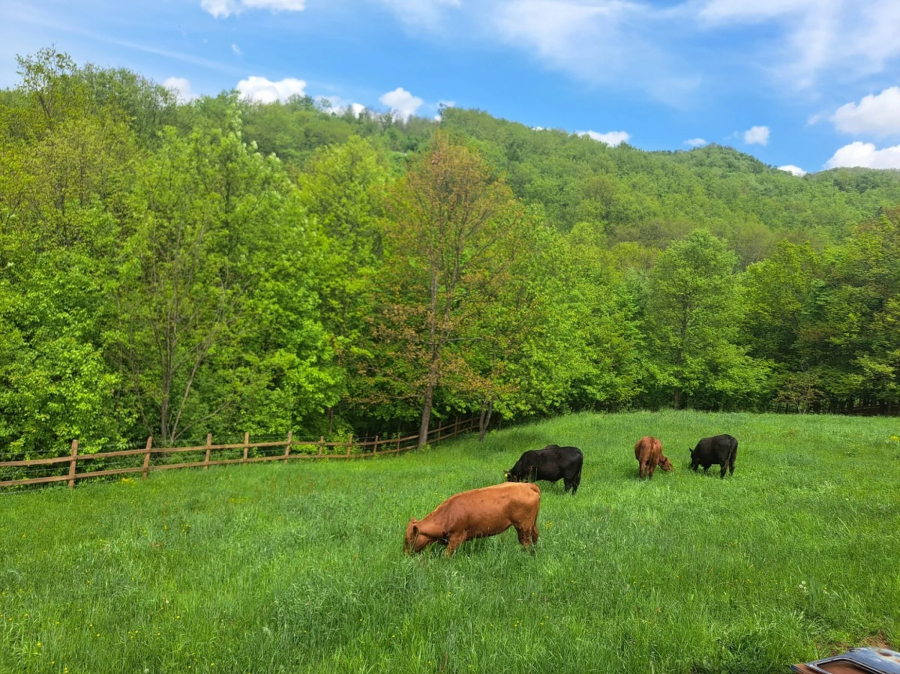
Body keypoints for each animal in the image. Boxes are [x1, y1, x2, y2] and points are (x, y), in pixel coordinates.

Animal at [402, 480, 540, 552]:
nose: (406, 555)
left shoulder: (457, 537)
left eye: (409, 539)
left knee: (526, 542)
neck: (447, 516)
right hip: (532, 524)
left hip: (523, 526)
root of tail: (527, 485)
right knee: (535, 537)